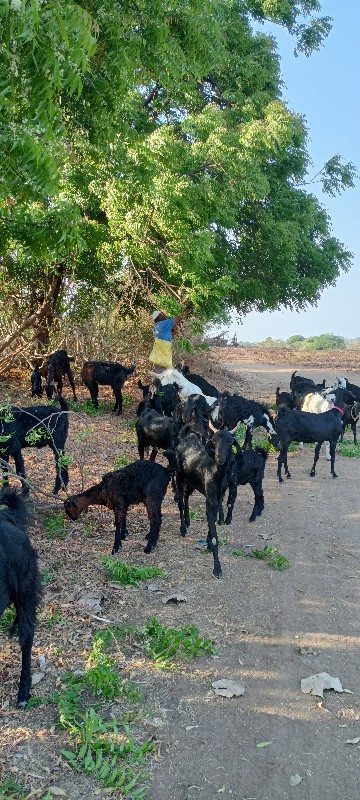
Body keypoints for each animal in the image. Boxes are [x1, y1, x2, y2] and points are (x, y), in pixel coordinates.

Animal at [173, 428, 235, 580]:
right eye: (214, 441)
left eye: (230, 442)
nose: (219, 458)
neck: (215, 472)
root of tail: (186, 436)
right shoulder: (210, 500)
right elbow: (214, 535)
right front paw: (217, 568)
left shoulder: (218, 498)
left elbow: (213, 521)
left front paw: (207, 543)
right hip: (179, 477)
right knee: (180, 502)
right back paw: (183, 528)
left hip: (192, 483)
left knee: (186, 497)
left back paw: (188, 520)